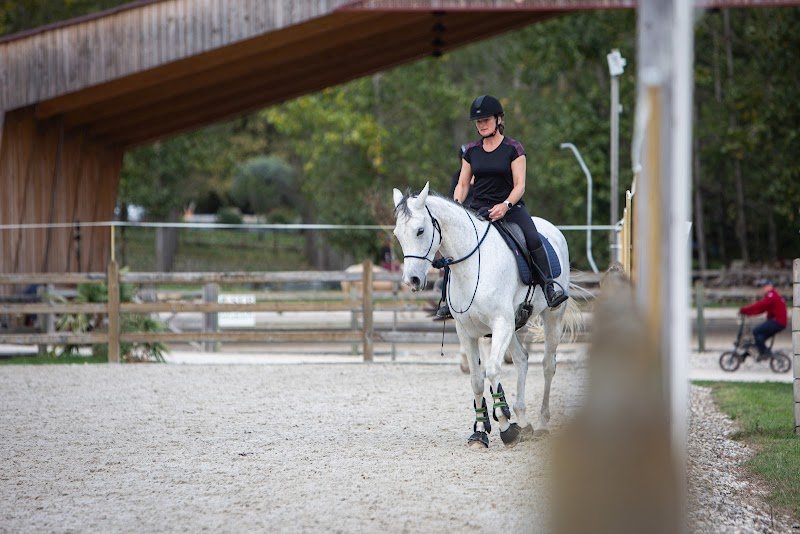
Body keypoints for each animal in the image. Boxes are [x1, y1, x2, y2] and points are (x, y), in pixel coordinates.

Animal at [392, 182, 581, 449]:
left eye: (420, 231)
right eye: (398, 234)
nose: (412, 281)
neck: (471, 266)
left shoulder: (500, 324)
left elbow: (491, 370)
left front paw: (505, 427)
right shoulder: (467, 331)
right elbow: (477, 379)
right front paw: (481, 432)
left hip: (551, 317)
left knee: (547, 365)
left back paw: (542, 424)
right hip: (513, 325)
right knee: (522, 359)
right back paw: (524, 421)